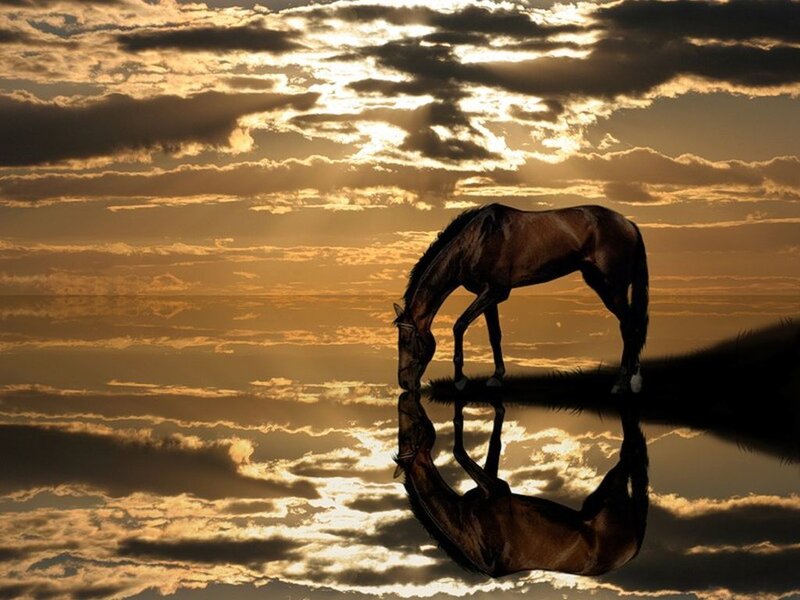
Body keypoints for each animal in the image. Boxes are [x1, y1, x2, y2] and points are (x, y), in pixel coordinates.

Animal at [393, 203, 649, 393]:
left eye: (406, 341)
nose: (405, 384)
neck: (477, 240)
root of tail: (630, 224)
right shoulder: (488, 296)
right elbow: (494, 336)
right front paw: (497, 377)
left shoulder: (495, 292)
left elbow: (459, 325)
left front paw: (460, 380)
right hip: (600, 283)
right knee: (631, 324)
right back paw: (632, 379)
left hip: (613, 287)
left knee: (630, 325)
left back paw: (623, 382)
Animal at [393, 392, 649, 578]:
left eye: (409, 431)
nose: (406, 397)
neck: (465, 524)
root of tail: (636, 547)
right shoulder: (497, 489)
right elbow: (462, 450)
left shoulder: (494, 487)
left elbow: (490, 444)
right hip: (610, 492)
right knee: (629, 453)